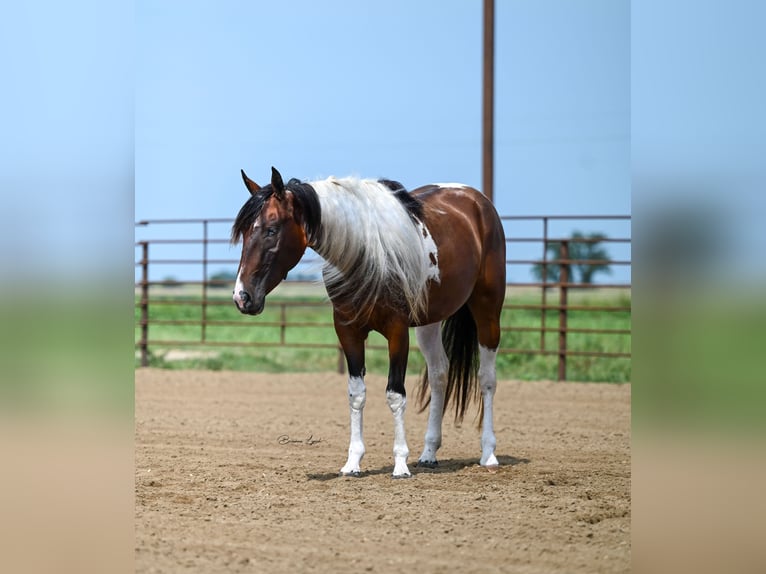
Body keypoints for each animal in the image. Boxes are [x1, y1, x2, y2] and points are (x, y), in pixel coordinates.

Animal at [234, 168, 510, 482]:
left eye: (271, 230)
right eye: (245, 232)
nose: (242, 297)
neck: (366, 254)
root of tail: (476, 200)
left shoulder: (397, 331)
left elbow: (395, 394)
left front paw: (400, 464)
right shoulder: (348, 331)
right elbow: (357, 395)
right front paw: (352, 463)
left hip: (487, 311)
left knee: (487, 379)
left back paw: (488, 454)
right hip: (429, 321)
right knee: (440, 375)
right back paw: (429, 453)